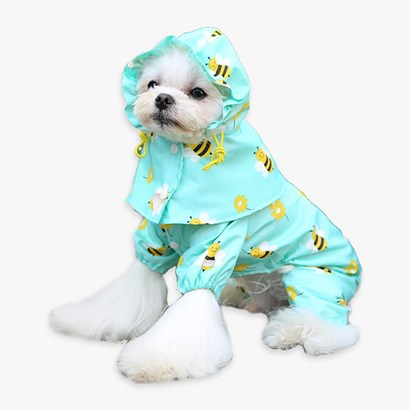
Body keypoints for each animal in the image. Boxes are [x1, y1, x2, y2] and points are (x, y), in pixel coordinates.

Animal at [50, 27, 362, 383]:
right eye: (152, 84)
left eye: (197, 93)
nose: (163, 98)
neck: (181, 155)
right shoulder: (155, 240)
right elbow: (135, 284)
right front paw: (83, 321)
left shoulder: (215, 247)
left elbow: (194, 303)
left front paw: (153, 362)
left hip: (315, 277)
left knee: (330, 324)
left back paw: (289, 331)